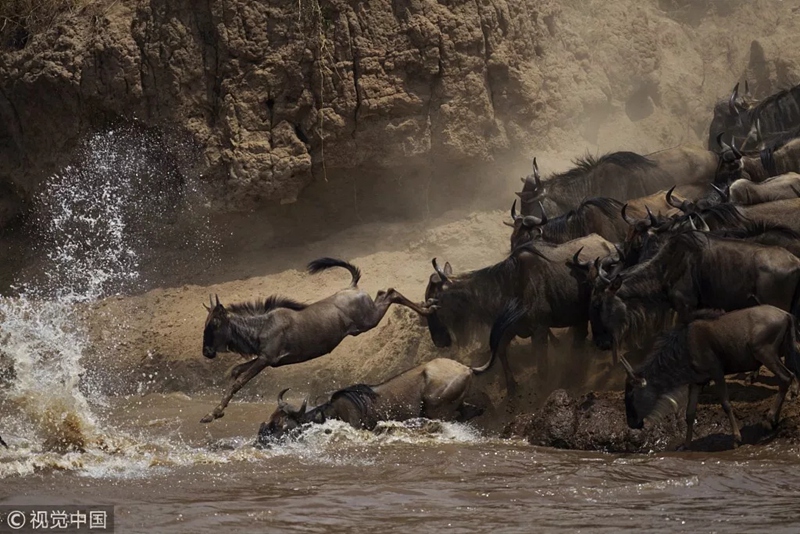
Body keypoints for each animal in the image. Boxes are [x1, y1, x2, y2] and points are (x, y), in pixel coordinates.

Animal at [200, 258, 434, 423]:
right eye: (206, 323)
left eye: (214, 324)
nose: (207, 352)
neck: (262, 326)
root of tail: (352, 287)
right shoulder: (265, 359)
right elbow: (235, 372)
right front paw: (215, 412)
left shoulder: (267, 358)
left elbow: (239, 380)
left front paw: (211, 414)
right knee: (384, 292)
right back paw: (427, 306)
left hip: (368, 321)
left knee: (391, 292)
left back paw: (428, 309)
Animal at [622, 306, 800, 449]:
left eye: (631, 394)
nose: (632, 423)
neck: (683, 348)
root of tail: (786, 315)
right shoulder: (696, 382)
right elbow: (689, 413)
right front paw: (686, 444)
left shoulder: (717, 372)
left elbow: (726, 404)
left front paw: (736, 439)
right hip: (781, 352)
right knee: (790, 375)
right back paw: (774, 420)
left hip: (765, 353)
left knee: (785, 378)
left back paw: (768, 420)